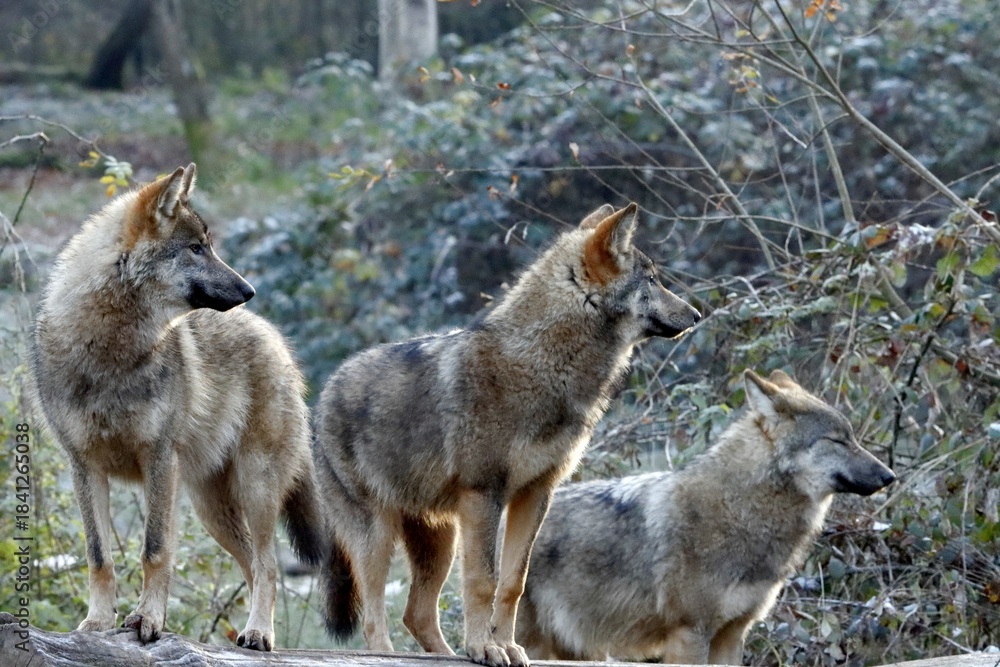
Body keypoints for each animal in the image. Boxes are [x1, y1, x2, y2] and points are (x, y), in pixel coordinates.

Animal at [29, 164, 325, 651]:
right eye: (195, 248)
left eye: (208, 245)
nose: (250, 289)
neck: (110, 353)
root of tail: (274, 337)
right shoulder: (84, 465)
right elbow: (98, 556)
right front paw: (97, 624)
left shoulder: (159, 457)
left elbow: (155, 551)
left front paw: (149, 620)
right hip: (210, 509)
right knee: (253, 565)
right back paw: (253, 634)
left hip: (255, 488)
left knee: (268, 566)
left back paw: (258, 633)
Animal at [313, 203, 701, 667]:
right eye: (653, 280)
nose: (697, 316)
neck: (542, 365)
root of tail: (324, 390)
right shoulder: (484, 495)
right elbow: (484, 581)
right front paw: (485, 647)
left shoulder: (535, 495)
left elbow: (513, 583)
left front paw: (506, 646)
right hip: (378, 538)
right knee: (374, 617)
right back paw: (393, 654)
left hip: (439, 541)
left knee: (416, 614)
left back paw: (449, 654)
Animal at [515, 369, 896, 664]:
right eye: (838, 441)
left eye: (853, 438)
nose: (889, 476)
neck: (739, 511)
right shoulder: (690, 633)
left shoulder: (732, 633)